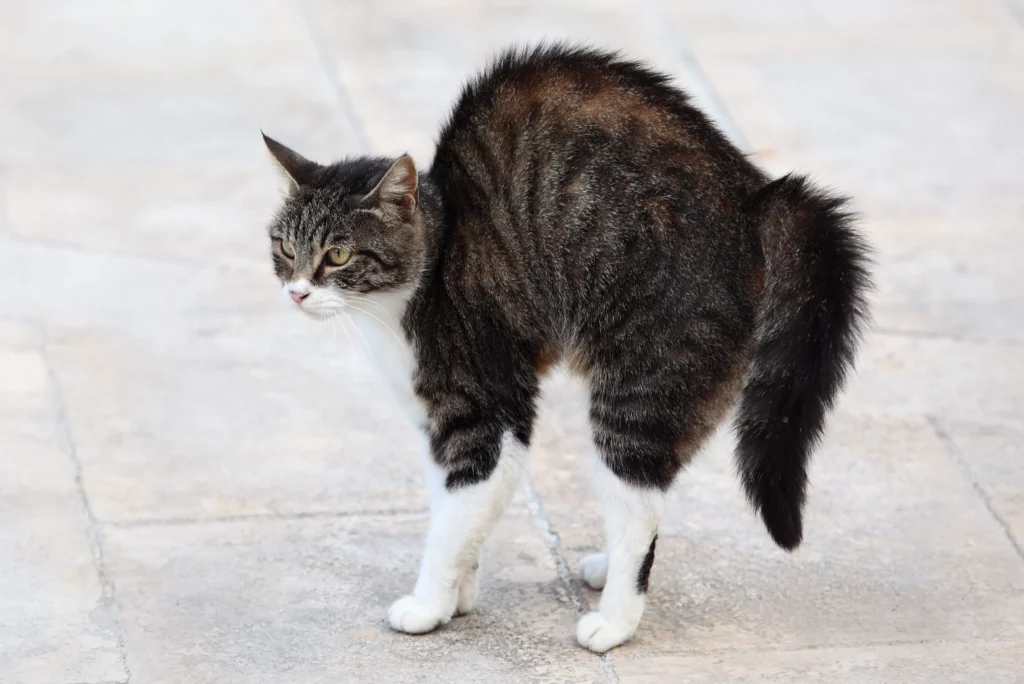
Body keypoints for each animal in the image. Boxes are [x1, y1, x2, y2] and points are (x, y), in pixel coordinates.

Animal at [262, 42, 872, 651]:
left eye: (338, 256)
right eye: (285, 247)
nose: (296, 292)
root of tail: (754, 194)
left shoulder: (488, 412)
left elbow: (453, 522)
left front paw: (428, 604)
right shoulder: (435, 427)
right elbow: (453, 514)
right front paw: (459, 596)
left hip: (640, 388)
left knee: (636, 510)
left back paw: (614, 620)